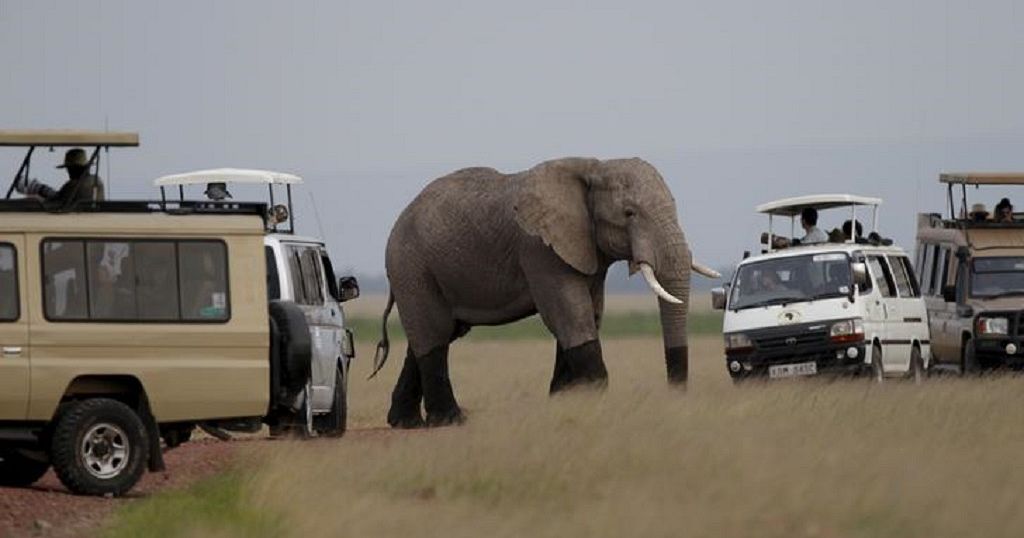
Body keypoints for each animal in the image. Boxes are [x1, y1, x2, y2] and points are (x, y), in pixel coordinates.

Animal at [370, 155, 720, 428]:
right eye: (629, 213)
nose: (674, 396)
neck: (593, 166)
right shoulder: (539, 249)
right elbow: (570, 316)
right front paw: (593, 404)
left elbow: (589, 315)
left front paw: (567, 403)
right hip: (412, 266)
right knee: (434, 333)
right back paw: (450, 421)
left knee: (440, 332)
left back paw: (406, 422)